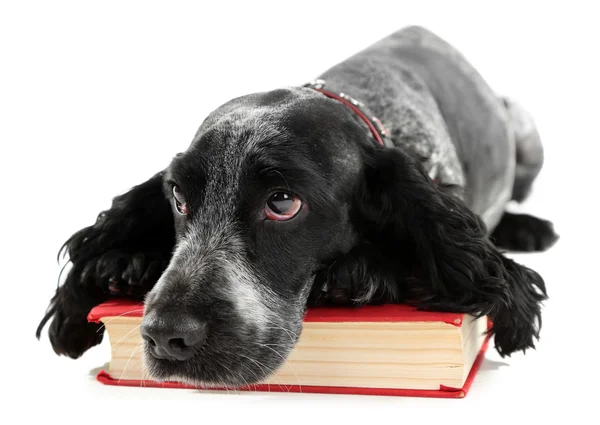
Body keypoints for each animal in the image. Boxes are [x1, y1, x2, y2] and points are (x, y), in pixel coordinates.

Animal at [37, 25, 556, 384]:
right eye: (179, 197)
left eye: (283, 203)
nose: (166, 336)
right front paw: (123, 261)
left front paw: (361, 272)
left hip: (524, 125)